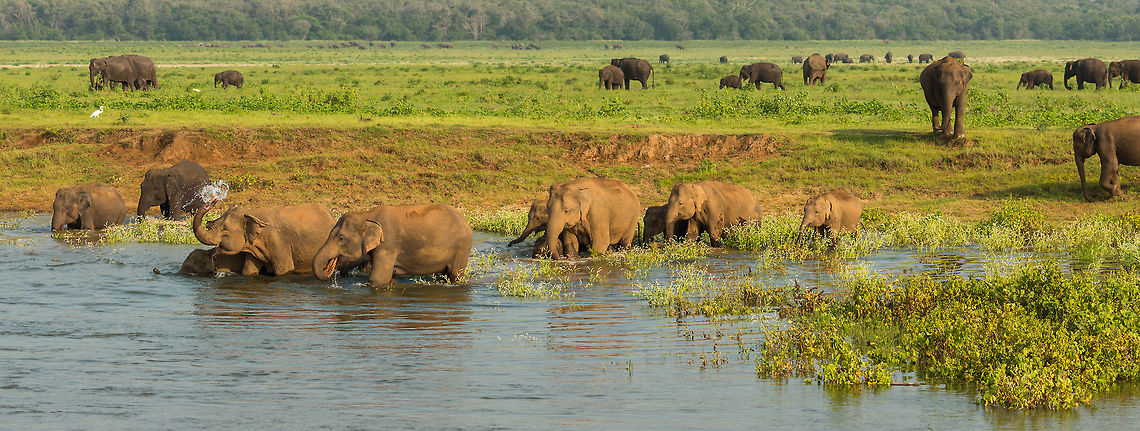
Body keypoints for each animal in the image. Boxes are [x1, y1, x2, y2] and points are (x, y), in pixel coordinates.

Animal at [193, 200, 336, 276]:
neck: (252, 212)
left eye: (225, 229)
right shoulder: (252, 247)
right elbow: (249, 270)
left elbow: (284, 269)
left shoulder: (278, 242)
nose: (212, 201)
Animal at [313, 204, 473, 285]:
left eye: (341, 238)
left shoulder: (388, 244)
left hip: (461, 248)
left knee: (455, 274)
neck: (366, 215)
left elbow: (378, 279)